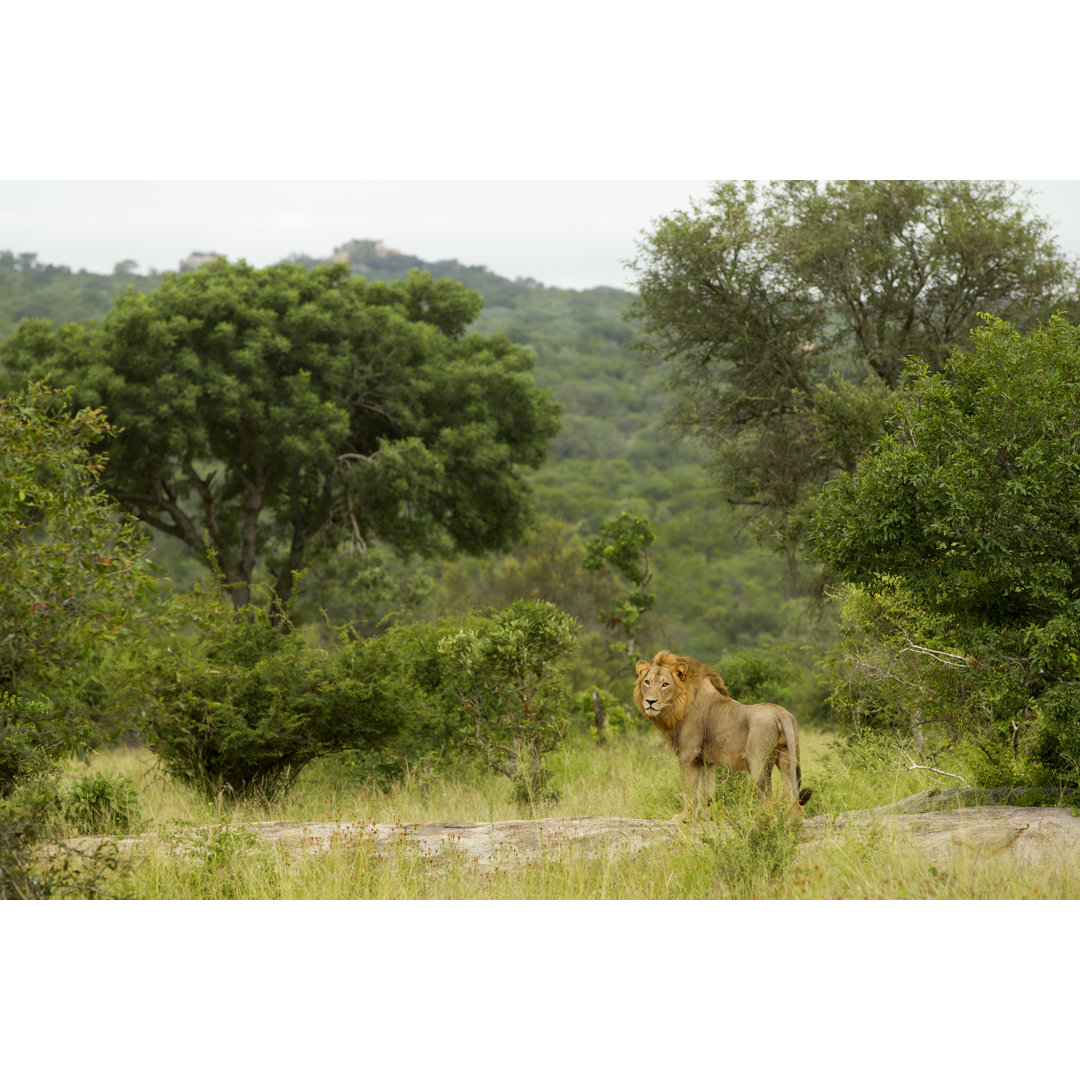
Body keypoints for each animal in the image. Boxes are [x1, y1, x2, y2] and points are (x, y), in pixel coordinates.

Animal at [630, 643, 812, 812]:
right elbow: (705, 796)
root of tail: (781, 713)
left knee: (769, 801)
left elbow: (689, 793)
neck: (679, 706)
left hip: (757, 762)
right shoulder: (706, 761)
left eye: (665, 684)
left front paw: (684, 818)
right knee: (793, 801)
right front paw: (702, 818)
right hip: (787, 758)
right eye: (647, 682)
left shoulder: (688, 756)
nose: (650, 701)